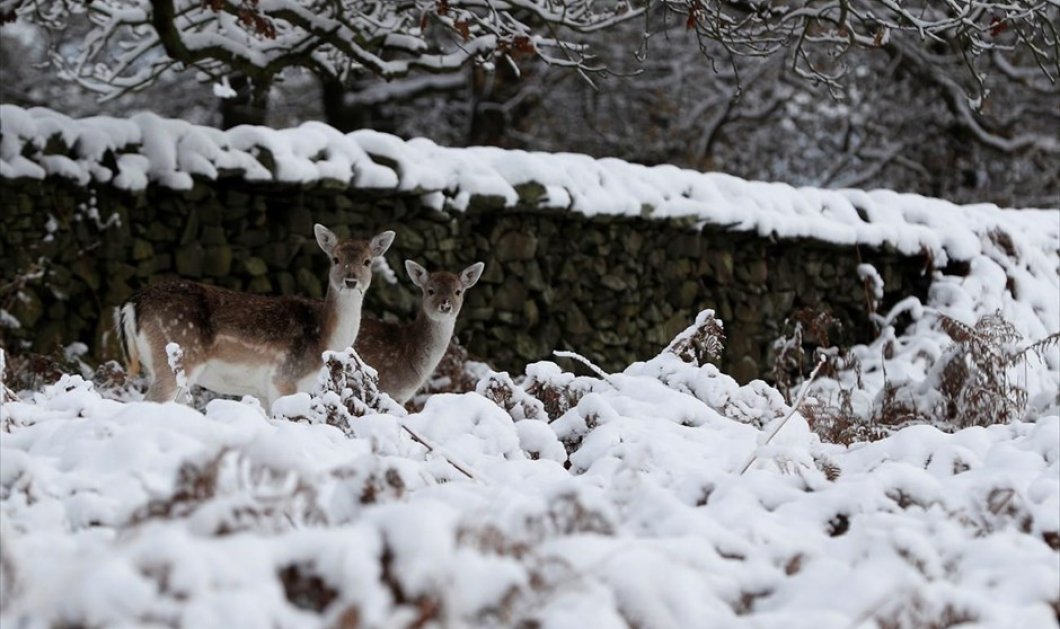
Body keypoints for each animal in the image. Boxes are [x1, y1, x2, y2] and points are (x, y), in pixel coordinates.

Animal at [116, 222, 396, 405]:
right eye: (335, 259)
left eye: (367, 261)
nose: (350, 280)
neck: (324, 338)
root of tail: (132, 303)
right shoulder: (284, 379)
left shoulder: (262, 391)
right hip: (178, 358)